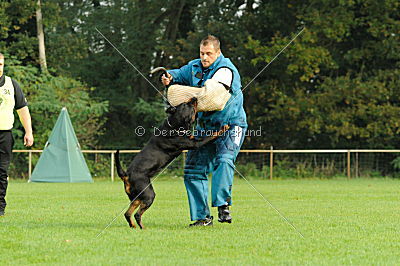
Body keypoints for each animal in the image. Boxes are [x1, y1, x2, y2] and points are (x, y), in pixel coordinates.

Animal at [115, 97, 228, 229]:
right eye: (186, 104)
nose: (194, 98)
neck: (175, 124)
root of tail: (126, 175)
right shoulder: (194, 143)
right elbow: (210, 135)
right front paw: (223, 128)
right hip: (148, 194)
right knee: (138, 214)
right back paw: (143, 227)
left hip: (137, 196)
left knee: (127, 213)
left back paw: (133, 226)